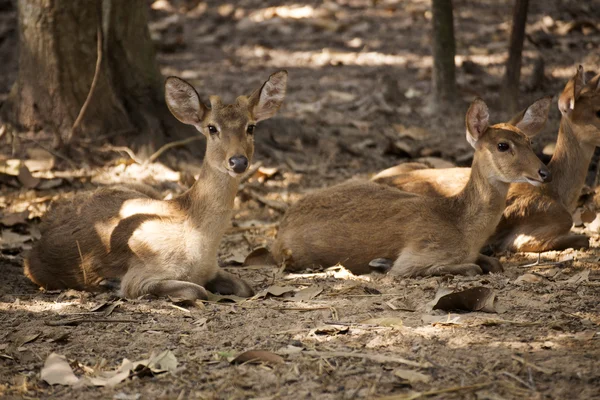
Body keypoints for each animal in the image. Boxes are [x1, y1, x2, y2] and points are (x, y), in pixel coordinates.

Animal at [27, 70, 290, 300]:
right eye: (212, 127)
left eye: (251, 126)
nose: (238, 161)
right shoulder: (140, 275)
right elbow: (197, 290)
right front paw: (110, 283)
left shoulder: (212, 269)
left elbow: (246, 287)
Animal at [274, 97, 552, 278]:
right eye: (503, 145)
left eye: (529, 141)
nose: (544, 172)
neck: (463, 228)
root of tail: (279, 231)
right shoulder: (418, 253)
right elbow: (469, 267)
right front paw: (384, 264)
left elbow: (494, 263)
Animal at [372, 67, 596, 252]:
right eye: (503, 145)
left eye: (530, 141)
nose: (544, 173)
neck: (559, 194)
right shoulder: (532, 231)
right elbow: (581, 239)